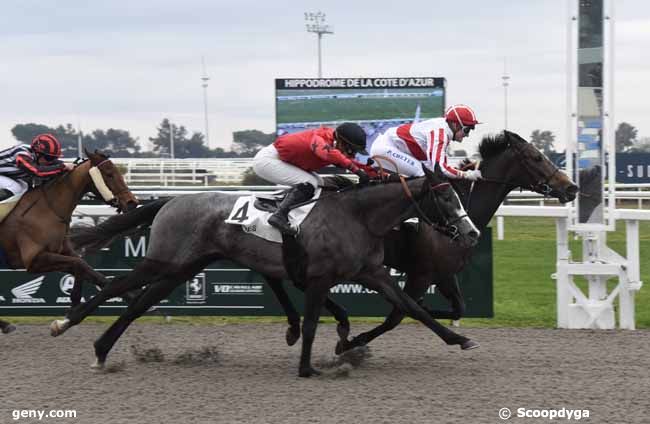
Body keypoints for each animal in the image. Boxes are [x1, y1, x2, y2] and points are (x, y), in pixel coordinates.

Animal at [0, 149, 138, 332]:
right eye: (109, 174)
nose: (132, 203)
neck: (48, 209)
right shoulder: (34, 260)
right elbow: (78, 264)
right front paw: (73, 304)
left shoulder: (62, 251)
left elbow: (89, 270)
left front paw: (131, 295)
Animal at [58, 164, 478, 376]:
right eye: (445, 197)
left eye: (458, 195)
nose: (472, 233)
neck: (358, 216)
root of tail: (171, 200)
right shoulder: (320, 278)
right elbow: (311, 323)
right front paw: (307, 367)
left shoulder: (371, 273)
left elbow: (411, 307)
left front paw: (459, 339)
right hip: (164, 260)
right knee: (117, 287)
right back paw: (66, 324)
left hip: (182, 268)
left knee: (137, 303)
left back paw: (101, 350)